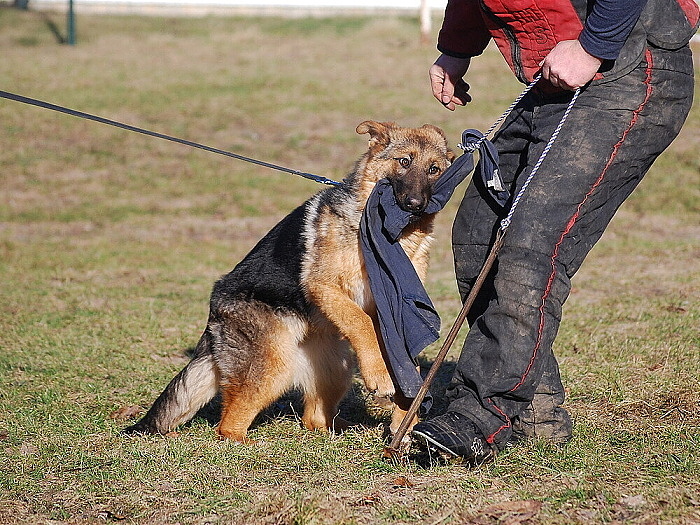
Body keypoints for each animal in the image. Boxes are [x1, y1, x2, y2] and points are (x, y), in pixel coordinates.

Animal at [124, 121, 454, 440]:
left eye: (434, 169)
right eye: (404, 161)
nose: (415, 203)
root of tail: (214, 313)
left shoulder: (390, 308)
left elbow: (404, 358)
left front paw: (405, 417)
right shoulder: (325, 286)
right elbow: (362, 323)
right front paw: (381, 378)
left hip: (337, 369)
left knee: (313, 419)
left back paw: (342, 431)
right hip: (274, 368)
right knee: (227, 425)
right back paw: (247, 443)